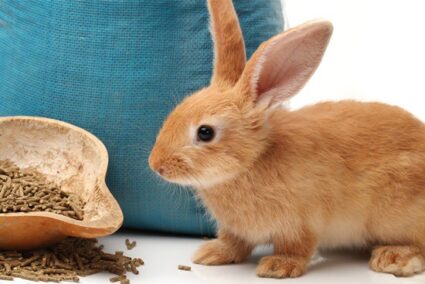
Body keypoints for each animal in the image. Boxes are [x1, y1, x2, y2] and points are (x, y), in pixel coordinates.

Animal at [148, 0, 424, 278]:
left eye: (205, 132)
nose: (156, 165)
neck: (250, 163)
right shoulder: (235, 230)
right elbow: (234, 242)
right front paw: (210, 253)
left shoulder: (302, 222)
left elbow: (296, 247)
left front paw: (278, 266)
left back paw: (394, 258)